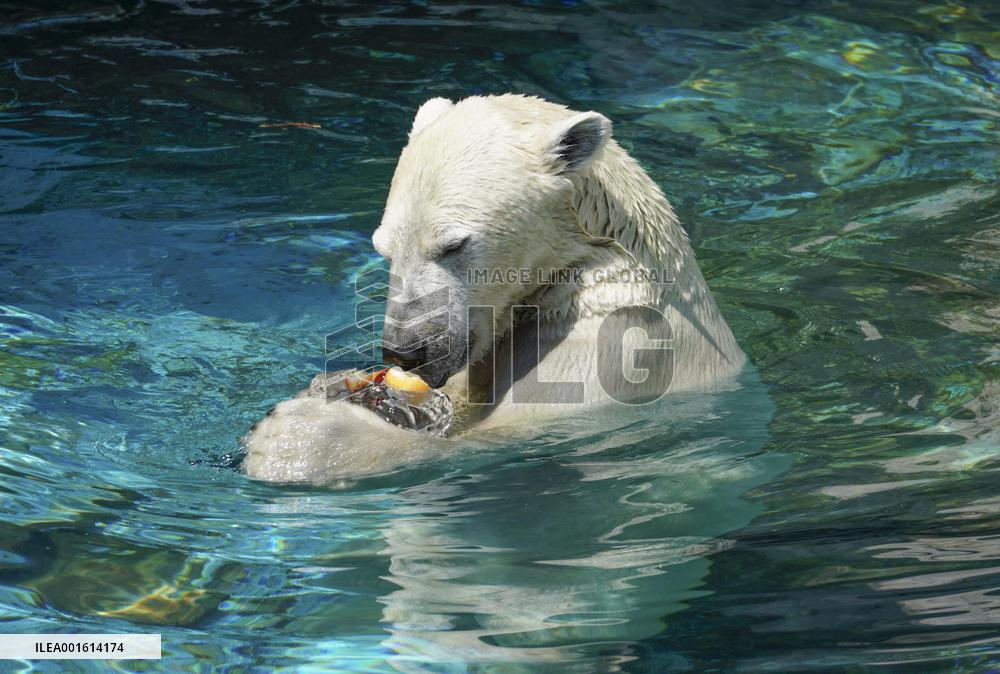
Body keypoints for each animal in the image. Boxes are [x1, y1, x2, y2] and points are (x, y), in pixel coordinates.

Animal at [242, 94, 747, 485]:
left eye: (453, 245)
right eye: (384, 249)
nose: (405, 351)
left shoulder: (612, 354)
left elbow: (491, 441)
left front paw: (299, 438)